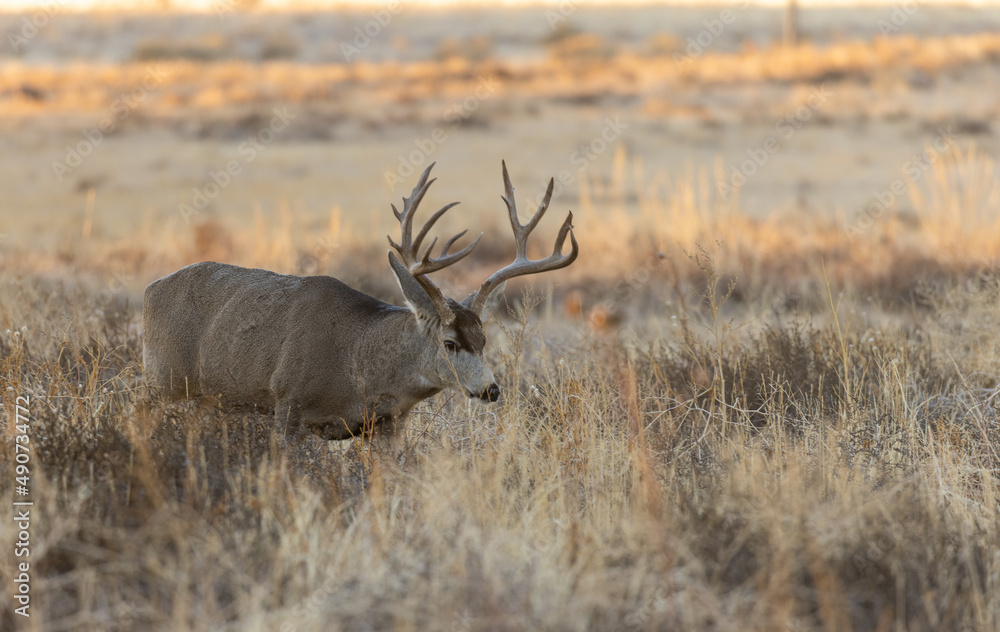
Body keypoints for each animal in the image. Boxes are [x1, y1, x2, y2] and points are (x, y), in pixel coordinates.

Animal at [142, 161, 578, 444]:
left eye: (485, 341)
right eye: (450, 343)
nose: (490, 389)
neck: (358, 364)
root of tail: (150, 288)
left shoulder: (388, 425)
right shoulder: (287, 403)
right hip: (161, 381)